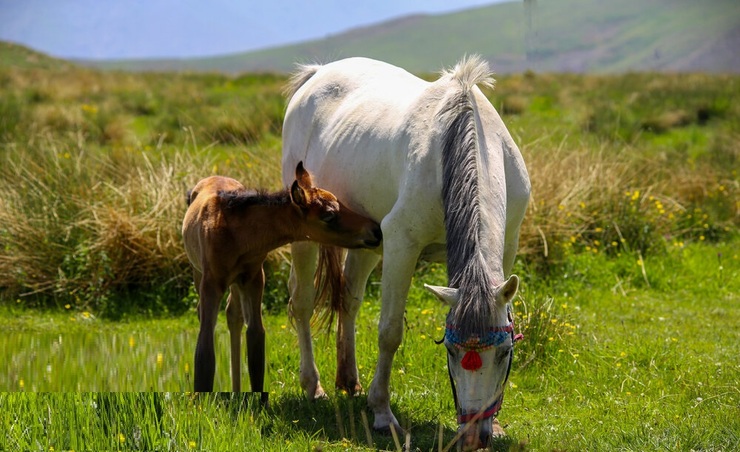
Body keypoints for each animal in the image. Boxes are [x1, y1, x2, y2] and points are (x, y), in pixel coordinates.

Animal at [280, 55, 528, 448]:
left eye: (504, 352)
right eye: (451, 351)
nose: (475, 437)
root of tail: (316, 73)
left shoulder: (508, 247)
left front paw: (500, 423)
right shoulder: (401, 244)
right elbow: (389, 332)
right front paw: (382, 413)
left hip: (367, 240)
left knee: (349, 298)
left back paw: (349, 380)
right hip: (307, 232)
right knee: (302, 303)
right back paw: (313, 385)